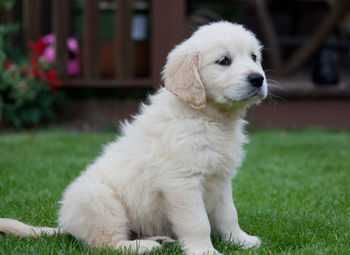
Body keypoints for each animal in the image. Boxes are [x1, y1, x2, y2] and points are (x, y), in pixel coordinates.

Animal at [0, 21, 268, 255]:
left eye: (254, 57)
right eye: (224, 61)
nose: (258, 78)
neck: (210, 119)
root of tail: (65, 226)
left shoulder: (221, 180)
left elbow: (228, 215)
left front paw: (241, 241)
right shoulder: (182, 182)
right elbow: (197, 221)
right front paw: (205, 251)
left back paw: (159, 239)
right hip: (99, 201)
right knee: (106, 244)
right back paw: (144, 246)